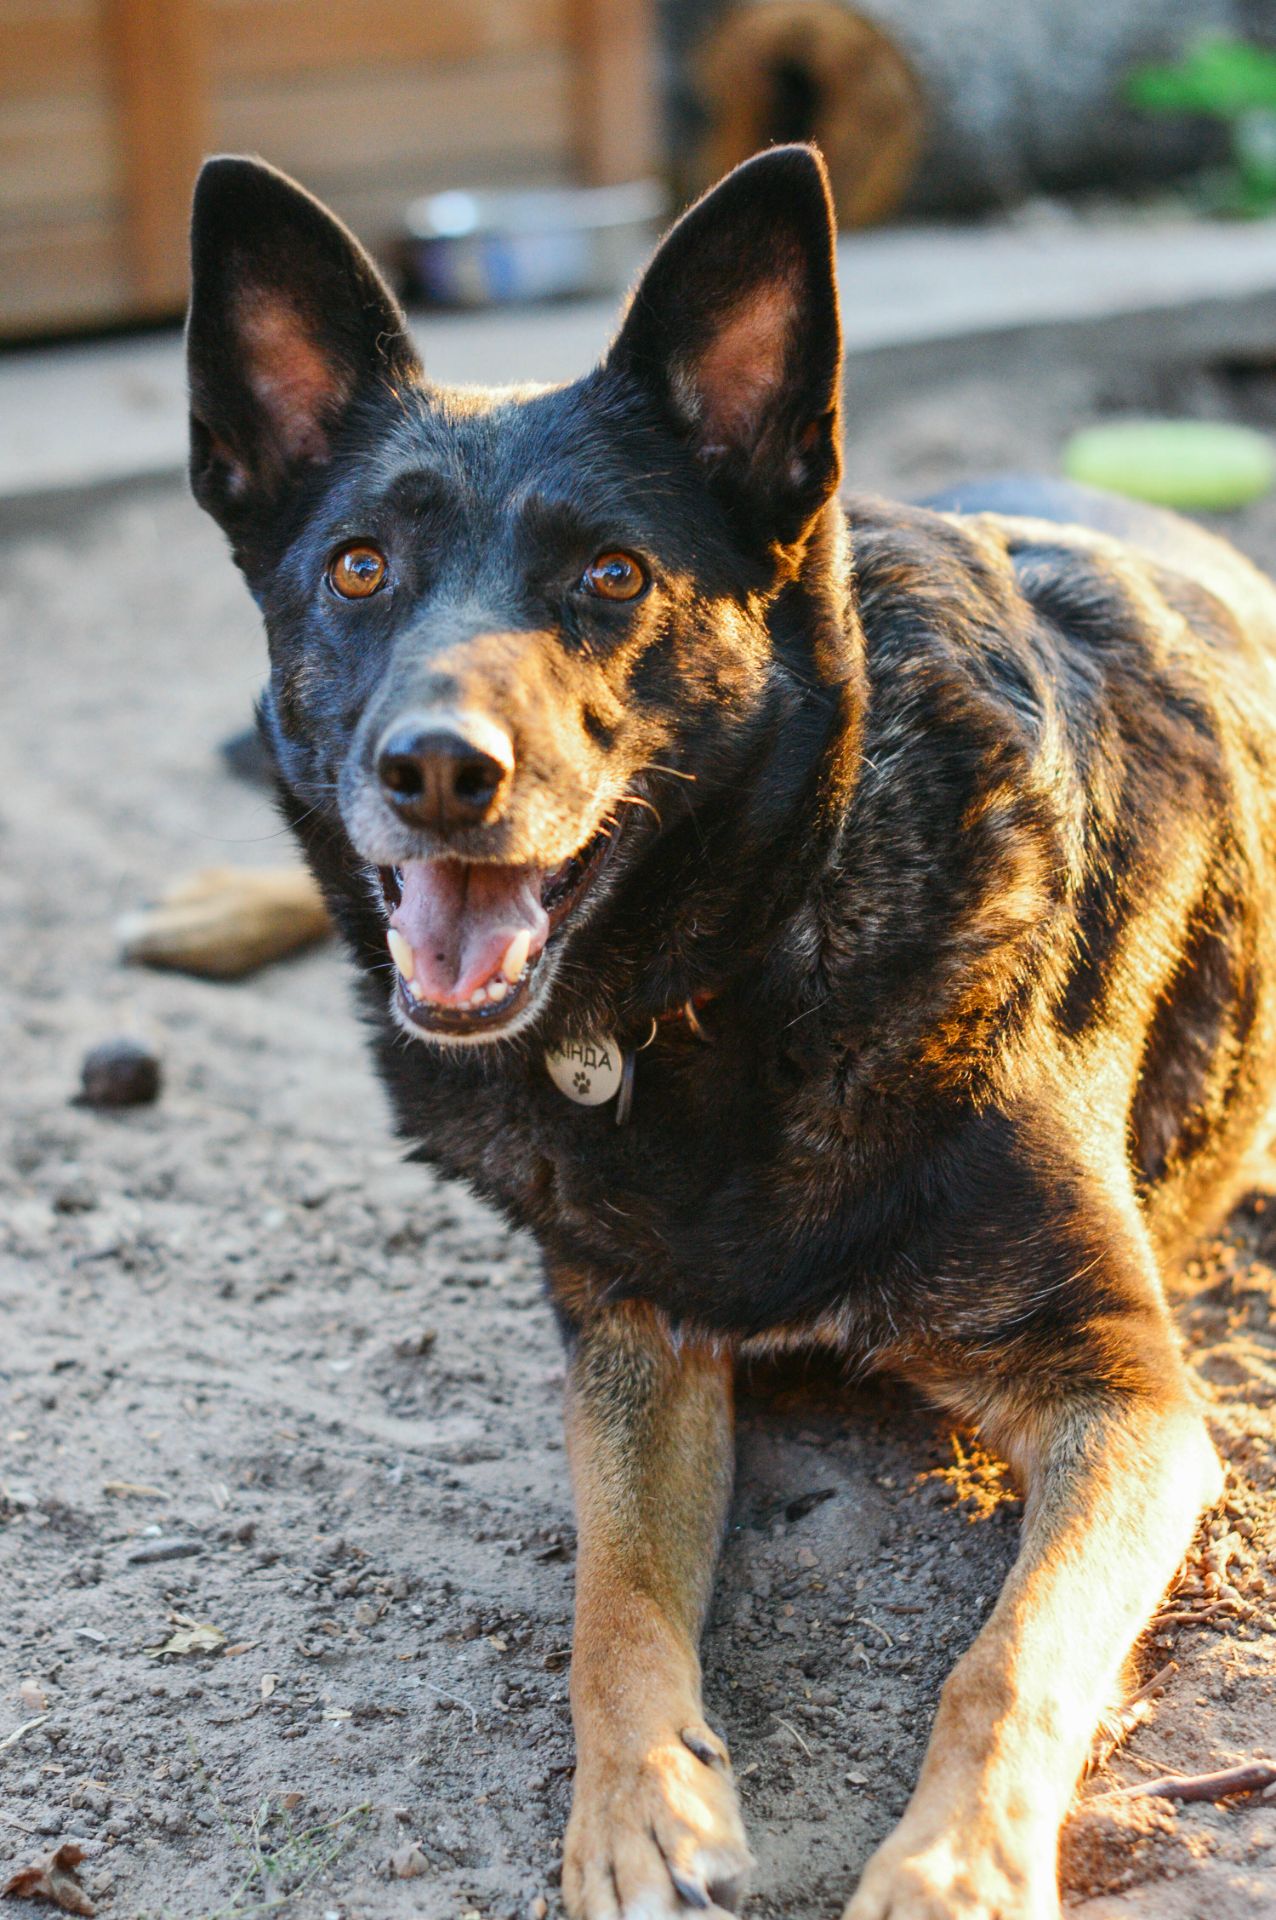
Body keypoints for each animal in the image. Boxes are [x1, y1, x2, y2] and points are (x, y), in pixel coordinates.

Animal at [179, 142, 1274, 1912]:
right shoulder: (632, 1333)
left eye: (612, 575)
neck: (756, 947)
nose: (436, 772)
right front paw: (637, 1808)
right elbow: (612, 1602)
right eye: (358, 567)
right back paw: (212, 906)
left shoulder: (1129, 1397)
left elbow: (1010, 1659)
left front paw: (953, 1865)